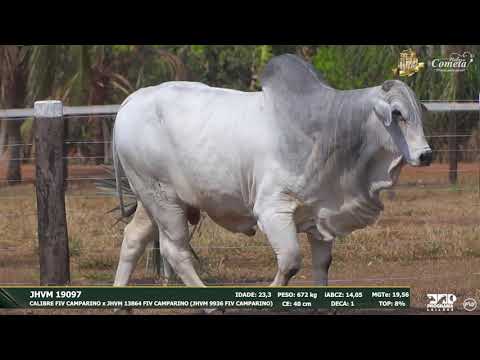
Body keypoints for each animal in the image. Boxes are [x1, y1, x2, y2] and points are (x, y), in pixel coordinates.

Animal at [111, 53, 432, 290]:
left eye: (417, 113)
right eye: (398, 114)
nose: (425, 154)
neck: (332, 128)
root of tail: (132, 99)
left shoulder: (321, 213)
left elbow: (322, 266)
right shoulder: (272, 210)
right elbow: (290, 263)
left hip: (150, 198)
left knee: (133, 239)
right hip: (165, 200)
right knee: (174, 251)